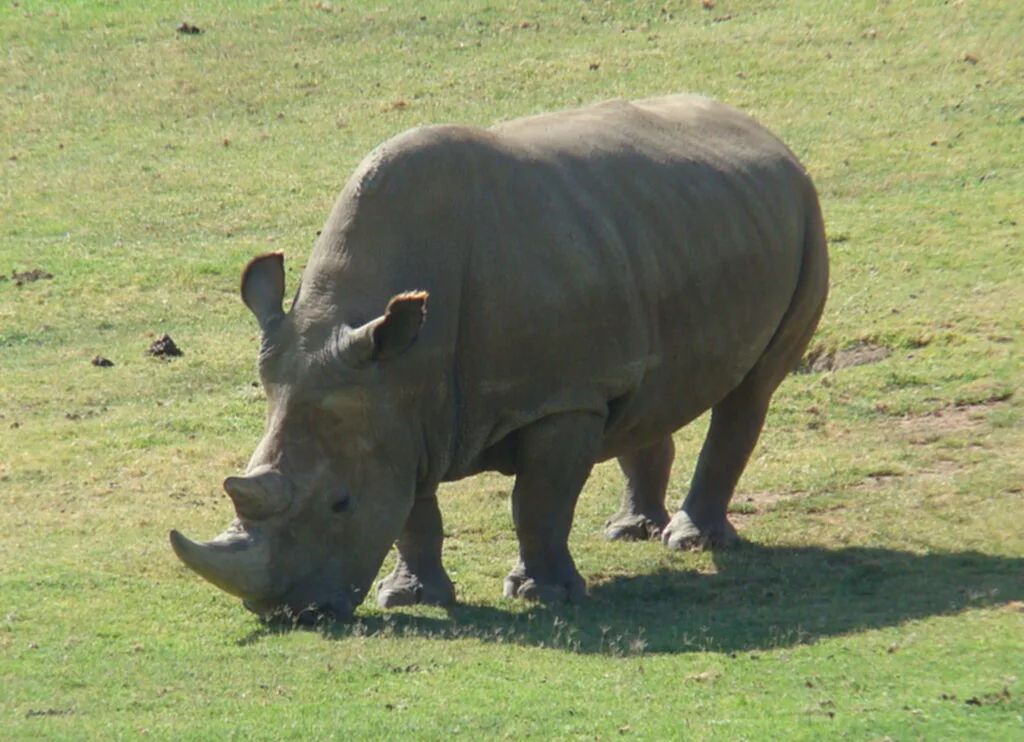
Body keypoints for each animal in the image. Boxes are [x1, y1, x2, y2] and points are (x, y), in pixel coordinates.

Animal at [169, 95, 823, 622]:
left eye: (341, 503)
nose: (289, 612)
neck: (402, 366)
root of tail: (764, 132)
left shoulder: (559, 399)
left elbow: (538, 502)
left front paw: (542, 597)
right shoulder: (396, 407)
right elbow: (413, 512)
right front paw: (409, 598)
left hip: (806, 214)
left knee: (750, 393)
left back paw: (692, 543)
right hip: (665, 230)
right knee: (641, 394)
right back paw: (629, 532)